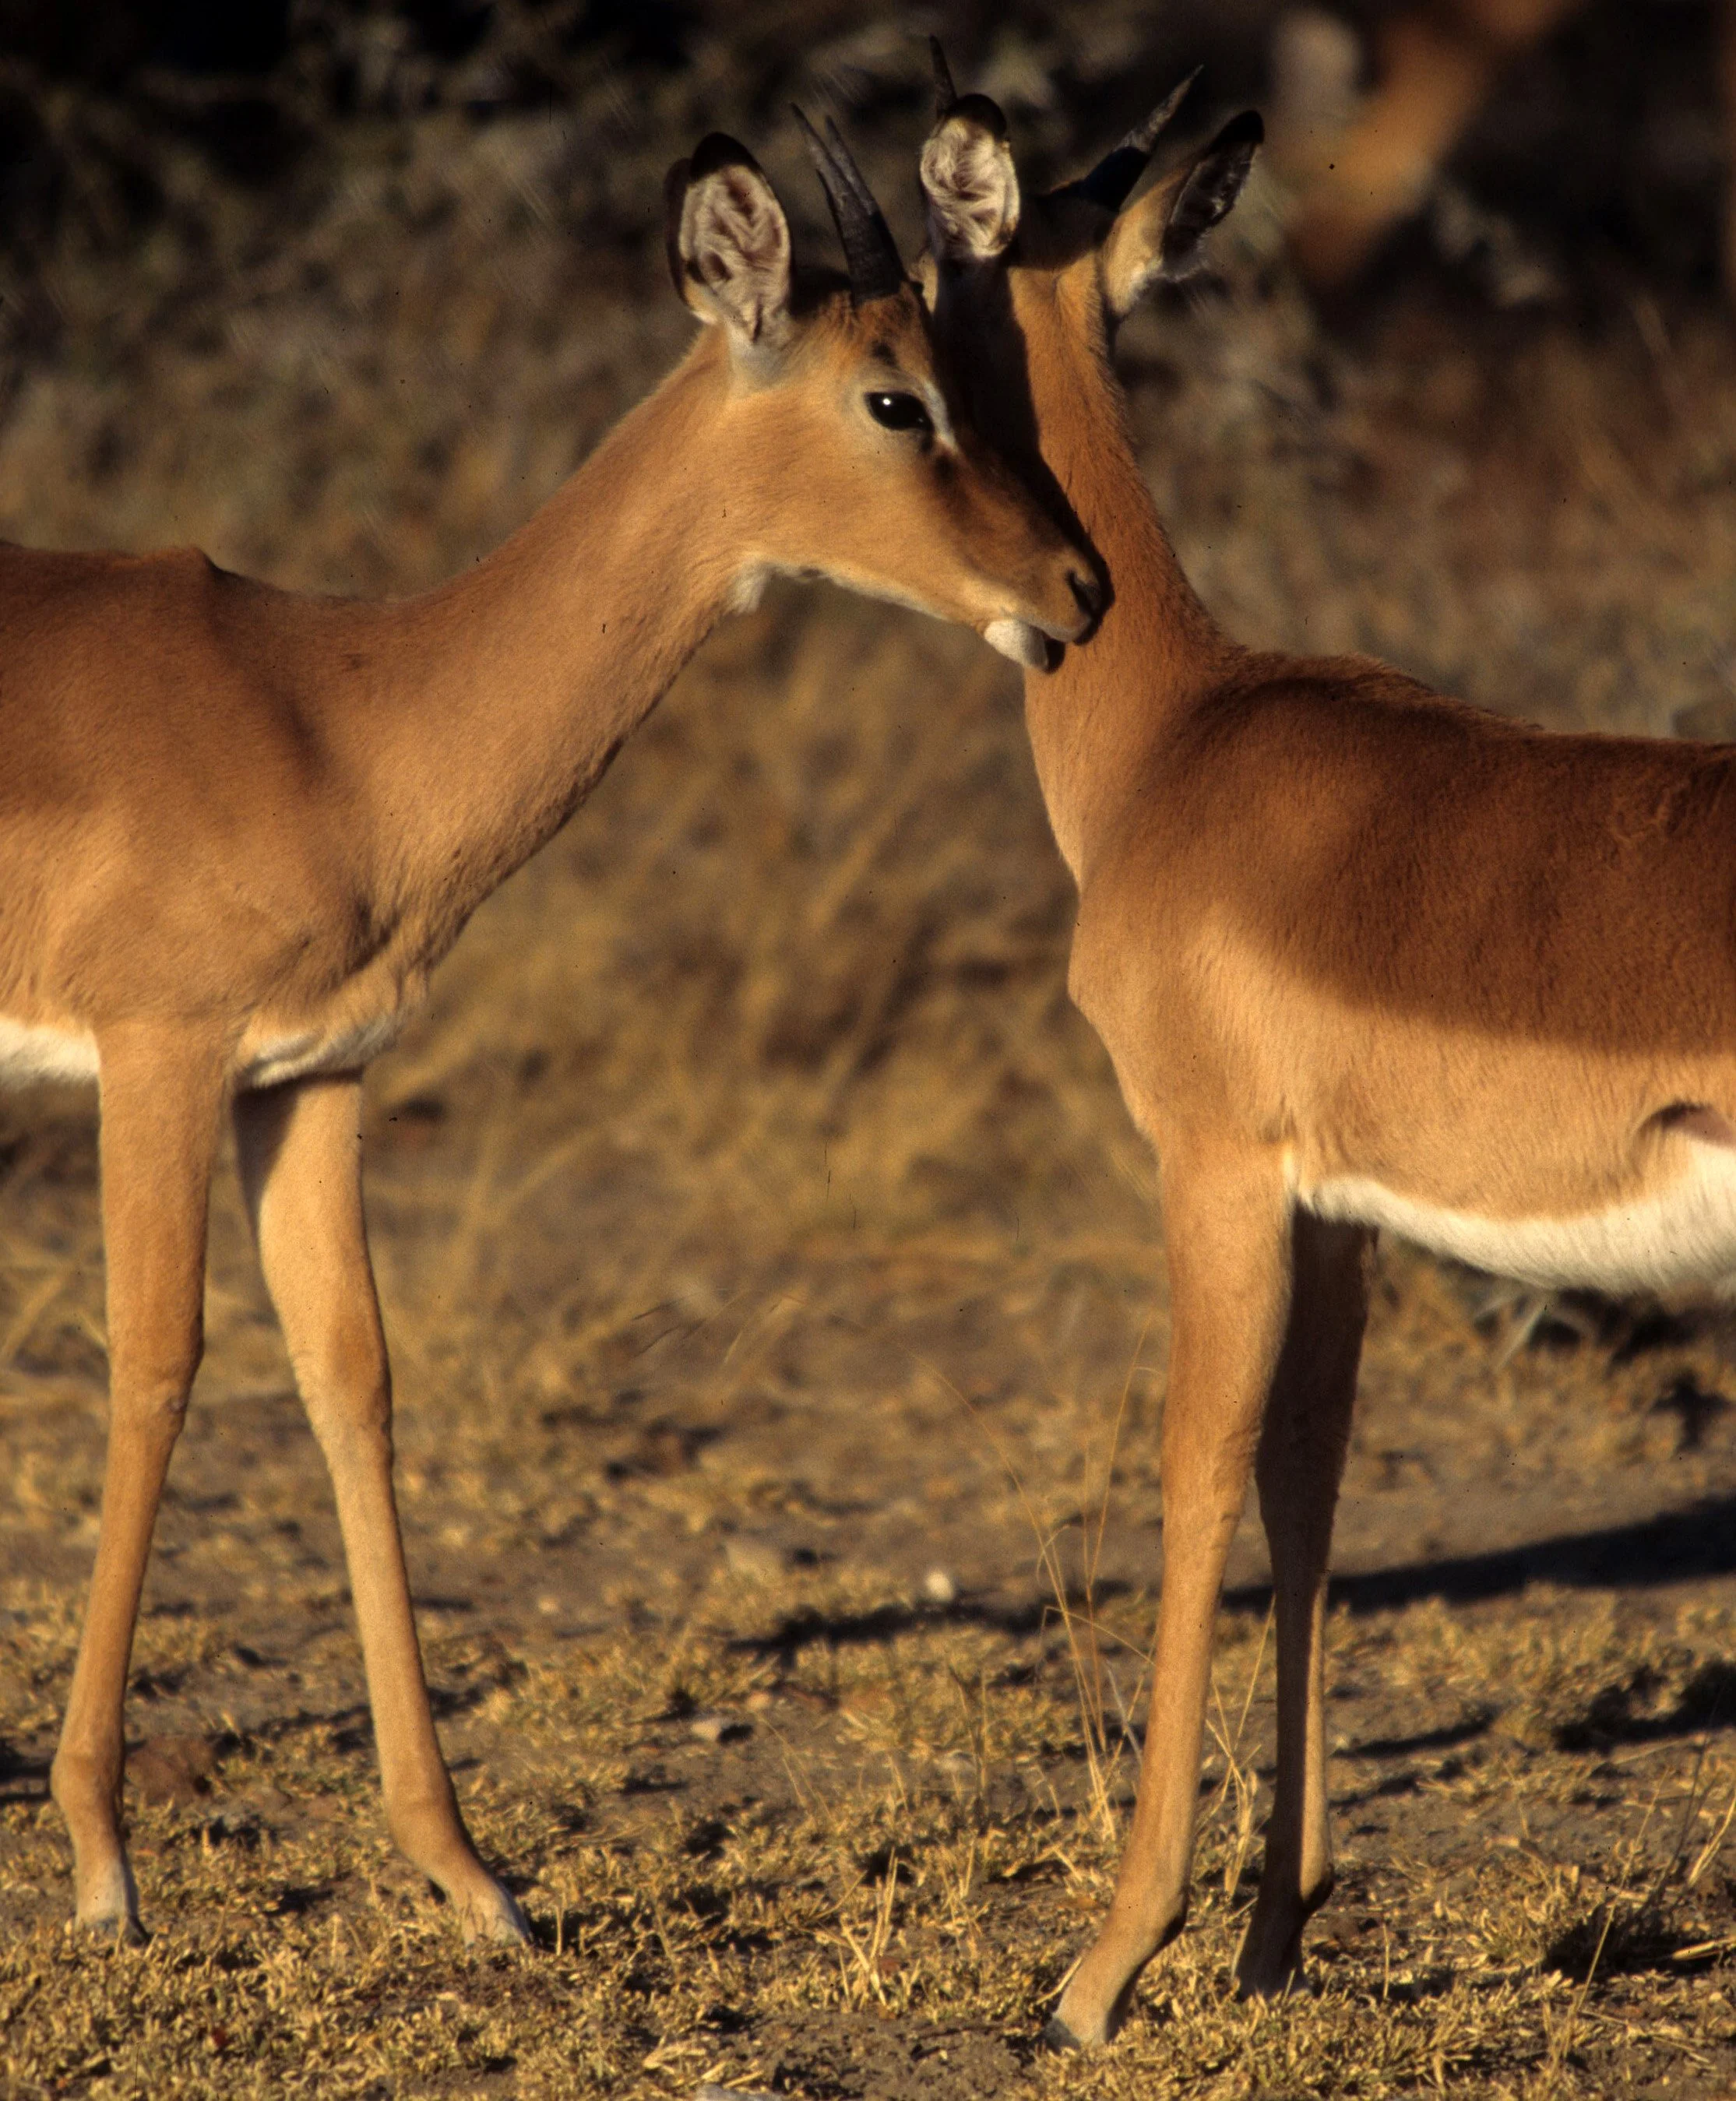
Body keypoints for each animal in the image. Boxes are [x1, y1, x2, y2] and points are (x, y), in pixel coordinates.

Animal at [12, 121, 1095, 1948]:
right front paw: (101, 1863)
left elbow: (352, 1378)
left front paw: (467, 1872)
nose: (1078, 588)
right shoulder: (159, 1057)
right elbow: (156, 1365)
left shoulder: (309, 1075)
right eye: (896, 396)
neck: (338, 714)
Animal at [919, 49, 1736, 2045]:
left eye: (914, 300)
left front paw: (1102, 1967)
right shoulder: (1344, 1210)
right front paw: (1271, 1928)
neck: (1172, 731)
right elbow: (1306, 1489)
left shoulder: (1211, 1167)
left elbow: (1191, 1474)